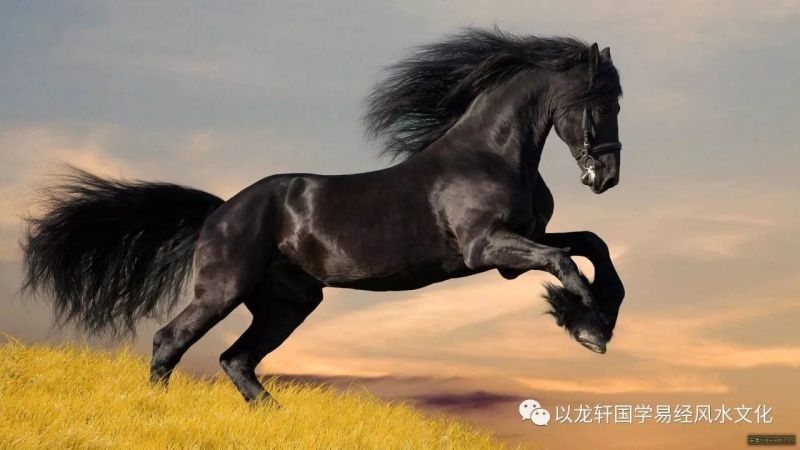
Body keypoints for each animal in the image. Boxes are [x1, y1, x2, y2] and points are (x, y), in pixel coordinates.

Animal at [22, 28, 625, 405]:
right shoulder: (488, 249)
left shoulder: (517, 246)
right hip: (223, 289)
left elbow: (591, 244)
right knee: (170, 341)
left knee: (236, 359)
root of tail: (220, 211)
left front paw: (598, 316)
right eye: (601, 102)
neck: (491, 154)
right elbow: (564, 262)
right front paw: (587, 326)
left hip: (289, 302)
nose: (607, 177)